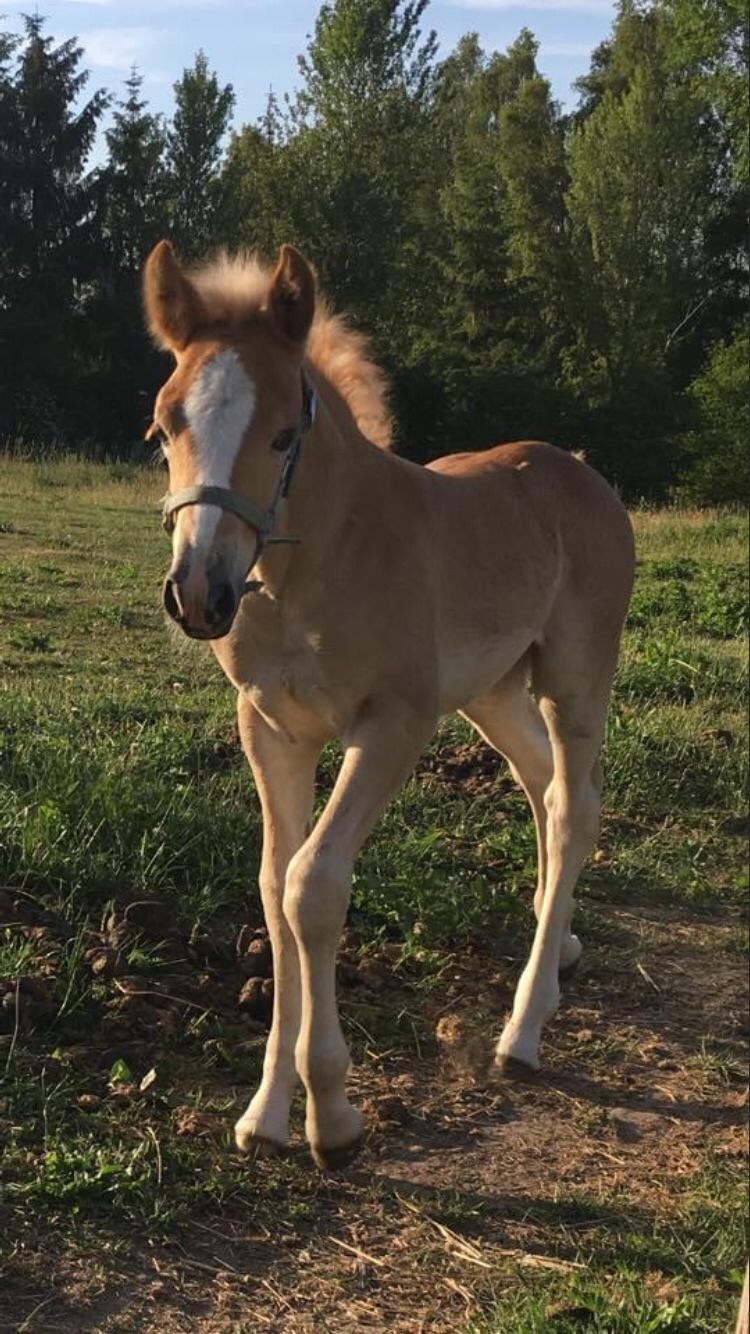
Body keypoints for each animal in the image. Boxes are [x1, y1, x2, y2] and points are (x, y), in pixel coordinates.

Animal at [144, 237, 629, 1168]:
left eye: (283, 434)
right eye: (164, 428)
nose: (197, 595)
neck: (313, 567)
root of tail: (584, 471)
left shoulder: (395, 723)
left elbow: (312, 887)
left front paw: (332, 1116)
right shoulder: (270, 729)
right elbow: (272, 886)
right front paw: (264, 1114)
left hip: (575, 676)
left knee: (573, 805)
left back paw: (523, 1030)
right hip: (492, 692)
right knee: (547, 788)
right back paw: (560, 951)